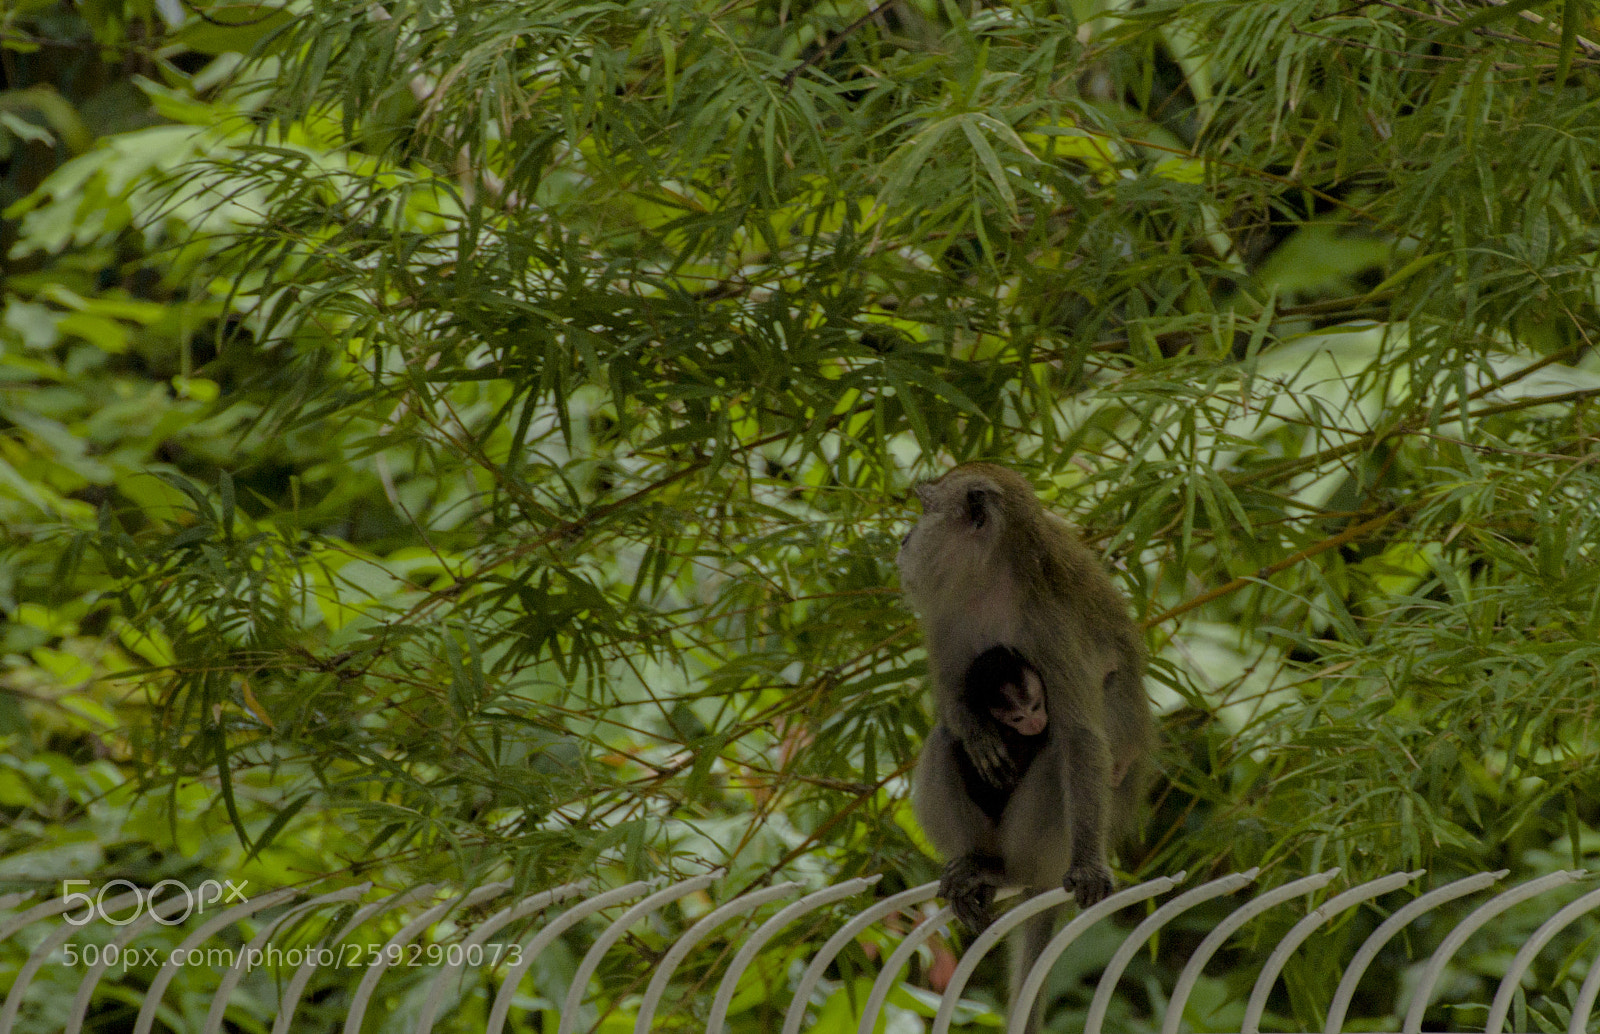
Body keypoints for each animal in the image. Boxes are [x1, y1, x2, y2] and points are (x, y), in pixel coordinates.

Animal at [897, 462, 1153, 1034]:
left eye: (923, 509)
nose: (903, 541)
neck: (995, 581)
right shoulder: (948, 609)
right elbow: (951, 702)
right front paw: (976, 732)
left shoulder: (1051, 627)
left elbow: (1081, 737)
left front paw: (1089, 867)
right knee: (943, 741)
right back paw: (976, 862)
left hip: (1052, 845)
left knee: (1061, 755)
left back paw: (1010, 872)